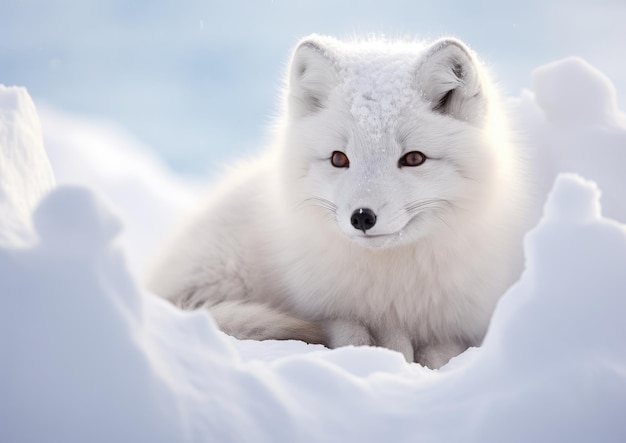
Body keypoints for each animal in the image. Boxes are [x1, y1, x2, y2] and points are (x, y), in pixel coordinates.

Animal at [146, 34, 528, 370]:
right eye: (339, 159)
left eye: (414, 159)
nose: (362, 217)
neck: (394, 285)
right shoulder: (331, 311)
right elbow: (354, 332)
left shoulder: (456, 327)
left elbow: (441, 352)